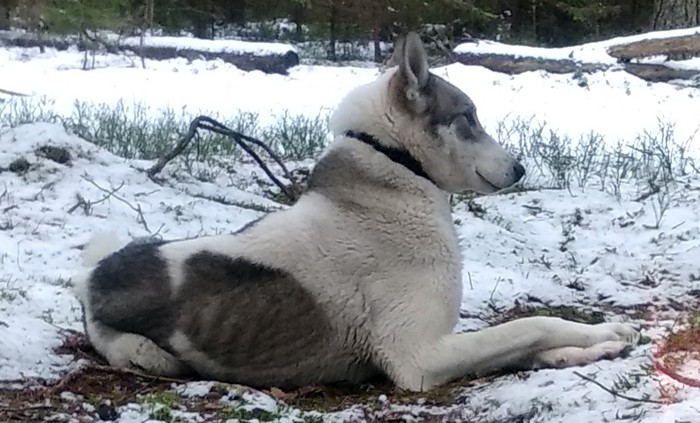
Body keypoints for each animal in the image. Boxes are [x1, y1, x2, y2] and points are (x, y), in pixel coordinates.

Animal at [73, 32, 638, 392]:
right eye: (469, 118)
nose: (520, 169)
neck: (393, 173)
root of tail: (95, 273)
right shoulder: (418, 361)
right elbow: (529, 327)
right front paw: (594, 338)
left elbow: (532, 338)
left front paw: (595, 345)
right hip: (136, 347)